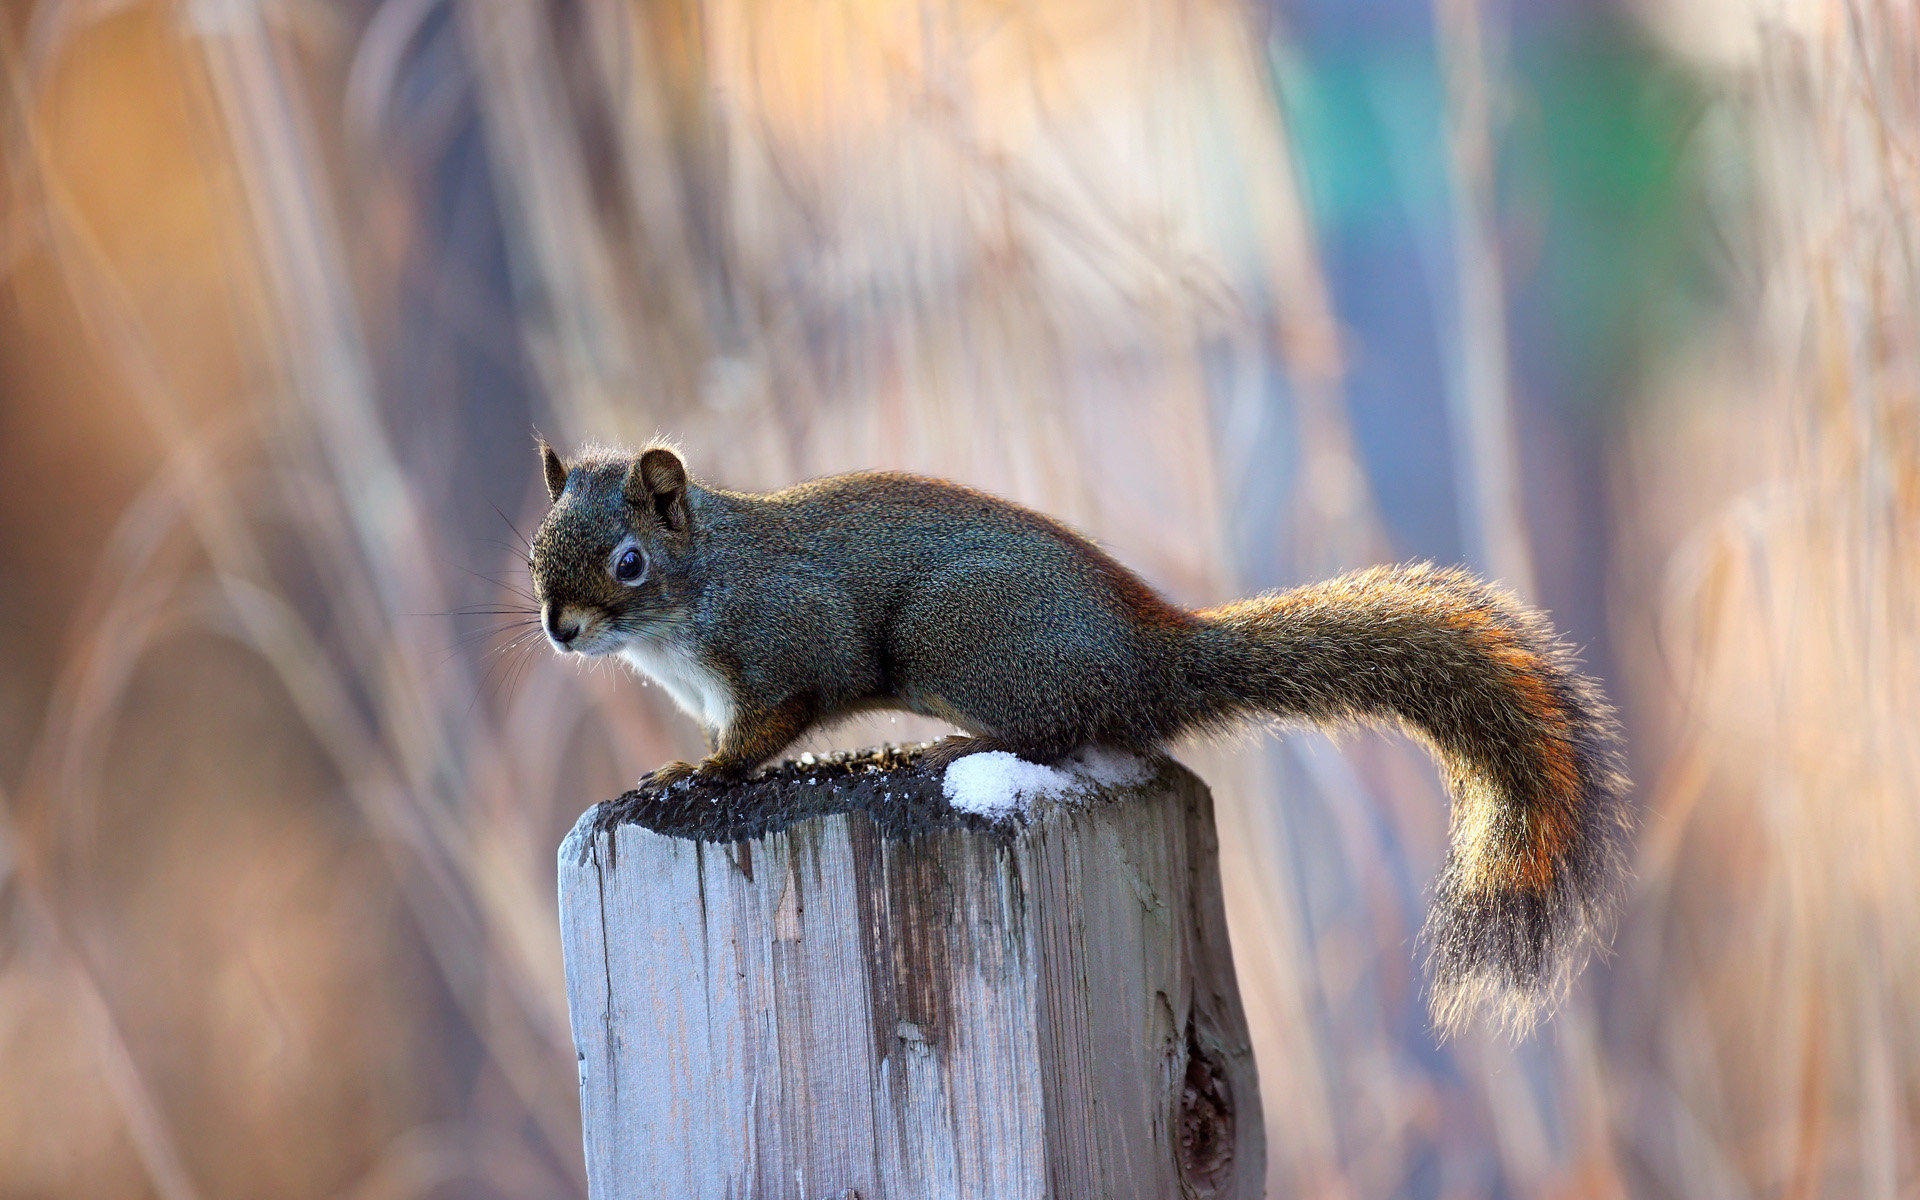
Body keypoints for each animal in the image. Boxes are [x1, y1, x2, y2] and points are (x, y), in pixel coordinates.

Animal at [533, 439, 1628, 1029]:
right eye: (537, 551)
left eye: (628, 562)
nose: (559, 629)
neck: (697, 595)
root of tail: (1150, 655)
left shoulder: (791, 644)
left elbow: (773, 724)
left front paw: (696, 771)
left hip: (962, 639)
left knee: (1060, 732)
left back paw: (953, 751)